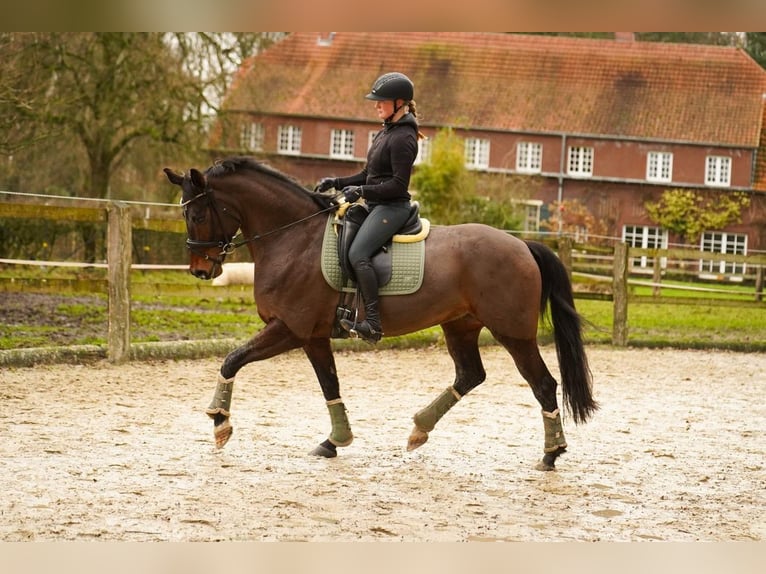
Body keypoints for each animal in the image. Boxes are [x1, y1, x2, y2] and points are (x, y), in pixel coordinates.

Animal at [164, 156, 597, 471]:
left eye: (196, 215)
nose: (201, 270)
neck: (293, 239)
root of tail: (522, 245)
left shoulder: (289, 329)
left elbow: (232, 359)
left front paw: (220, 422)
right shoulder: (313, 337)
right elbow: (330, 386)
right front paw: (334, 441)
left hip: (513, 333)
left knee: (543, 385)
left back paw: (551, 454)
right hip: (460, 326)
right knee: (470, 375)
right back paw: (419, 430)